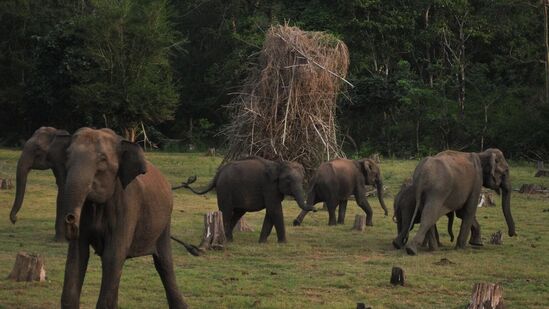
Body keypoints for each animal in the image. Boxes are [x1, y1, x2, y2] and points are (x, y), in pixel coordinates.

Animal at [58, 126, 196, 306]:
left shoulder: (128, 205)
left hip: (165, 221)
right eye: (67, 156)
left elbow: (113, 255)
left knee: (164, 263)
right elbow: (77, 255)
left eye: (102, 159)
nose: (70, 218)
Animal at [178, 158, 314, 242]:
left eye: (302, 180)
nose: (315, 209)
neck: (278, 164)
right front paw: (283, 243)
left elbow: (271, 212)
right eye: (288, 180)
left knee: (237, 213)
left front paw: (262, 242)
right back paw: (226, 240)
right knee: (226, 212)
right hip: (224, 190)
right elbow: (274, 210)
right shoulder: (269, 187)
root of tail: (218, 174)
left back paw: (229, 239)